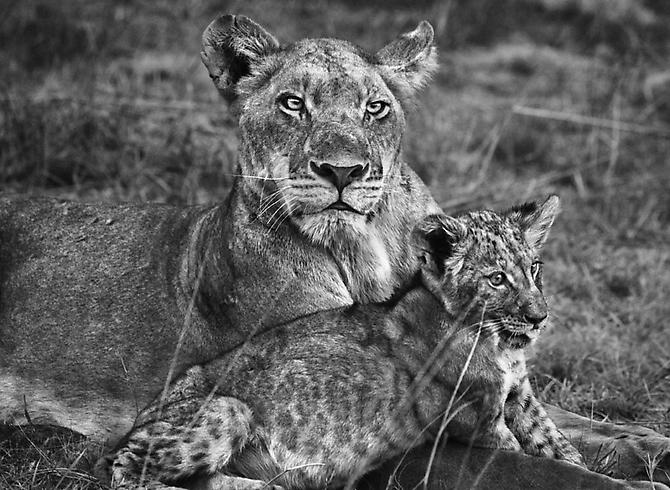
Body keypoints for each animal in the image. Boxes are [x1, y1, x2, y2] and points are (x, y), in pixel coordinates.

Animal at [1, 14, 668, 489]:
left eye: (376, 107)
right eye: (293, 104)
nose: (343, 171)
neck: (368, 250)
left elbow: (584, 428)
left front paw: (643, 444)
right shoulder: (408, 444)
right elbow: (541, 469)